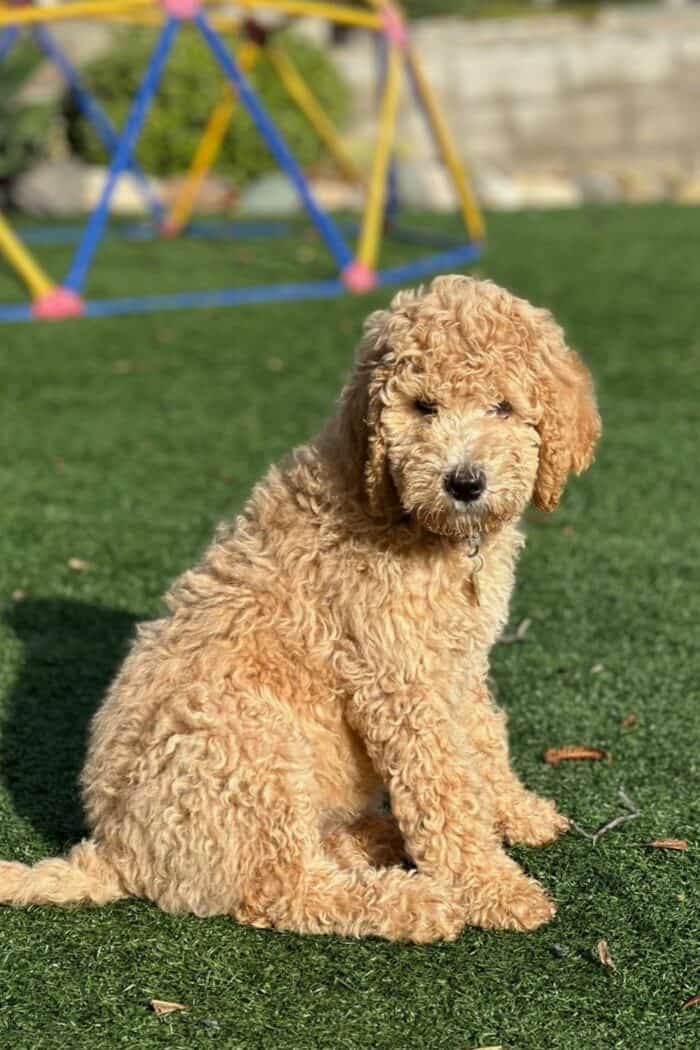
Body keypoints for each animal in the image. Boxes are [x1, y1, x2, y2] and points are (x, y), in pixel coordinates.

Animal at [1, 273, 604, 944]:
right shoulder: (398, 677)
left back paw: (376, 840)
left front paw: (516, 812)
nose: (464, 482)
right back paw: (415, 900)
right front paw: (494, 887)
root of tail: (118, 851)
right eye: (423, 407)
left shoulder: (458, 660)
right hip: (244, 742)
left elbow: (481, 741)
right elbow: (443, 784)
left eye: (502, 408)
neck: (406, 517)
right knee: (284, 888)